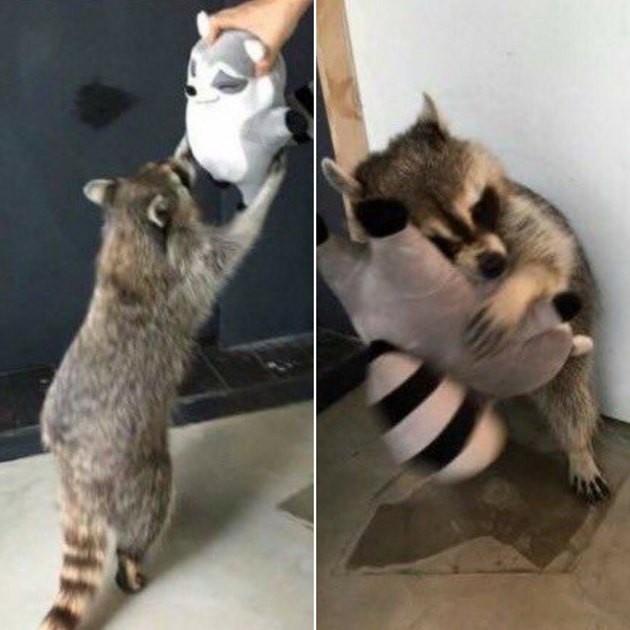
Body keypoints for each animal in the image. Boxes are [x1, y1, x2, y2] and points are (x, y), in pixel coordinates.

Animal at [39, 151, 286, 628]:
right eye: (178, 178)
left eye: (166, 164)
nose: (187, 161)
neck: (130, 227)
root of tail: (75, 467)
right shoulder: (189, 264)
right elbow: (234, 243)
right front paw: (266, 190)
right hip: (135, 467)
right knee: (149, 509)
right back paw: (130, 559)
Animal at [324, 96, 608, 506]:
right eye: (438, 240)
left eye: (478, 207)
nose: (494, 264)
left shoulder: (520, 217)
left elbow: (550, 254)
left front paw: (514, 291)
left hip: (575, 338)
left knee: (570, 393)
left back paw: (578, 447)